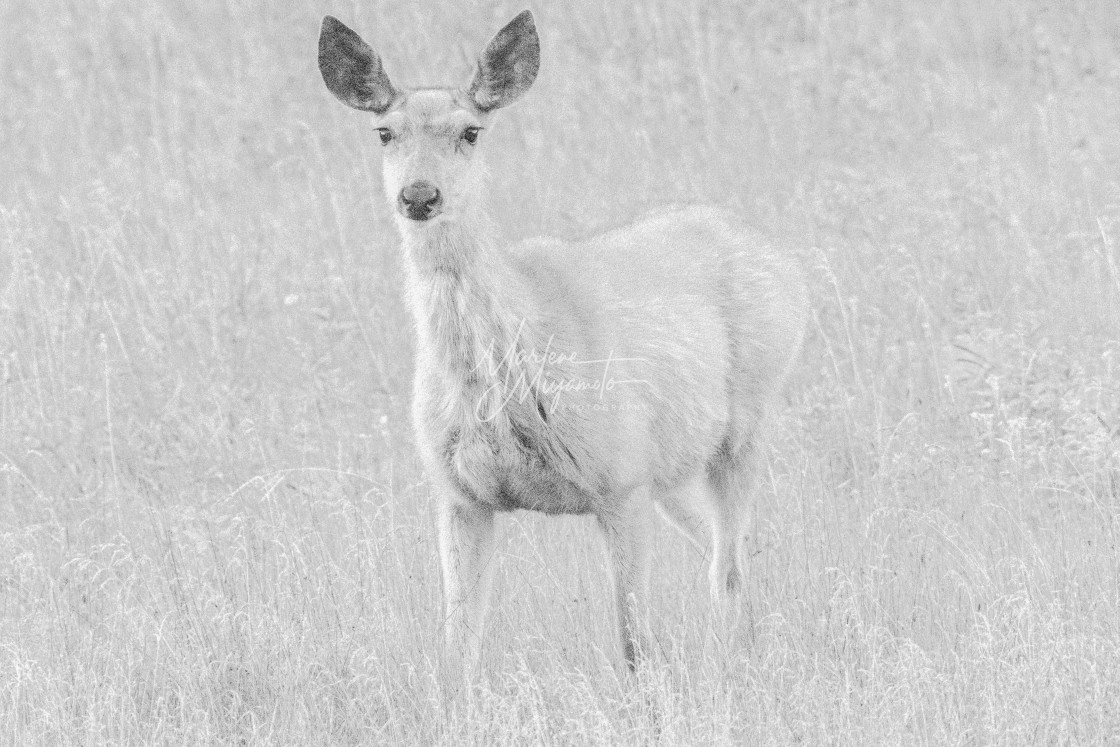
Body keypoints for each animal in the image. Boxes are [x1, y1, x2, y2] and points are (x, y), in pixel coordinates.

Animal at [320, 8, 810, 676]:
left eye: (471, 132)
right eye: (384, 133)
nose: (420, 195)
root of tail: (777, 255)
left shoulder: (620, 480)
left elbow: (634, 646)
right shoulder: (459, 494)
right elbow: (456, 650)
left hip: (744, 425)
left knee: (729, 564)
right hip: (673, 468)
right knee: (719, 548)